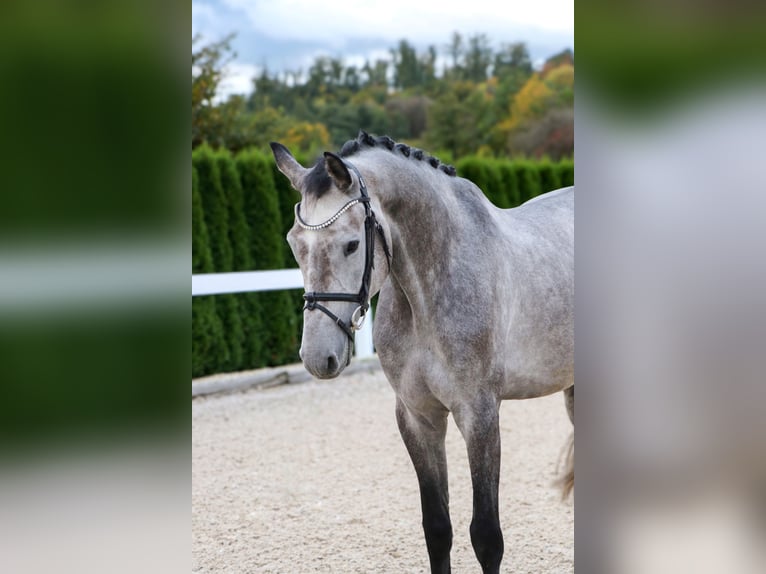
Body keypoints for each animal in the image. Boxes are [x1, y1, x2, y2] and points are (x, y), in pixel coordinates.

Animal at [272, 132, 572, 574]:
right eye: (294, 244)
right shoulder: (418, 417)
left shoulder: (479, 414)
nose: (317, 357)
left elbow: (487, 536)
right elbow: (437, 528)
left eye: (351, 244)